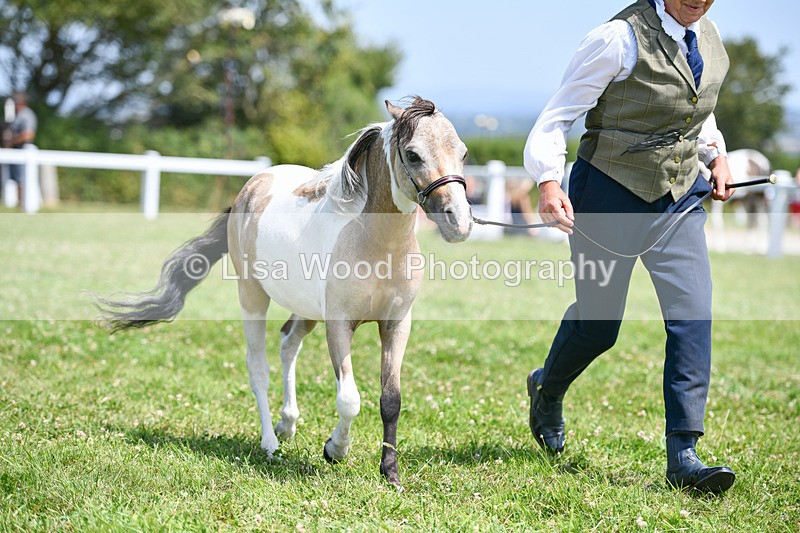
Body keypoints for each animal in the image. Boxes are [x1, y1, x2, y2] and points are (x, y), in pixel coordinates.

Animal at [96, 97, 473, 487]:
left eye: (463, 153)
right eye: (413, 155)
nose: (459, 222)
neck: (373, 241)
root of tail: (251, 187)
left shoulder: (396, 325)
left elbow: (391, 400)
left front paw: (390, 473)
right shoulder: (339, 325)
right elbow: (349, 399)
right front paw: (334, 449)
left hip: (305, 310)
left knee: (288, 344)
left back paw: (288, 423)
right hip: (252, 299)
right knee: (258, 368)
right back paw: (270, 443)